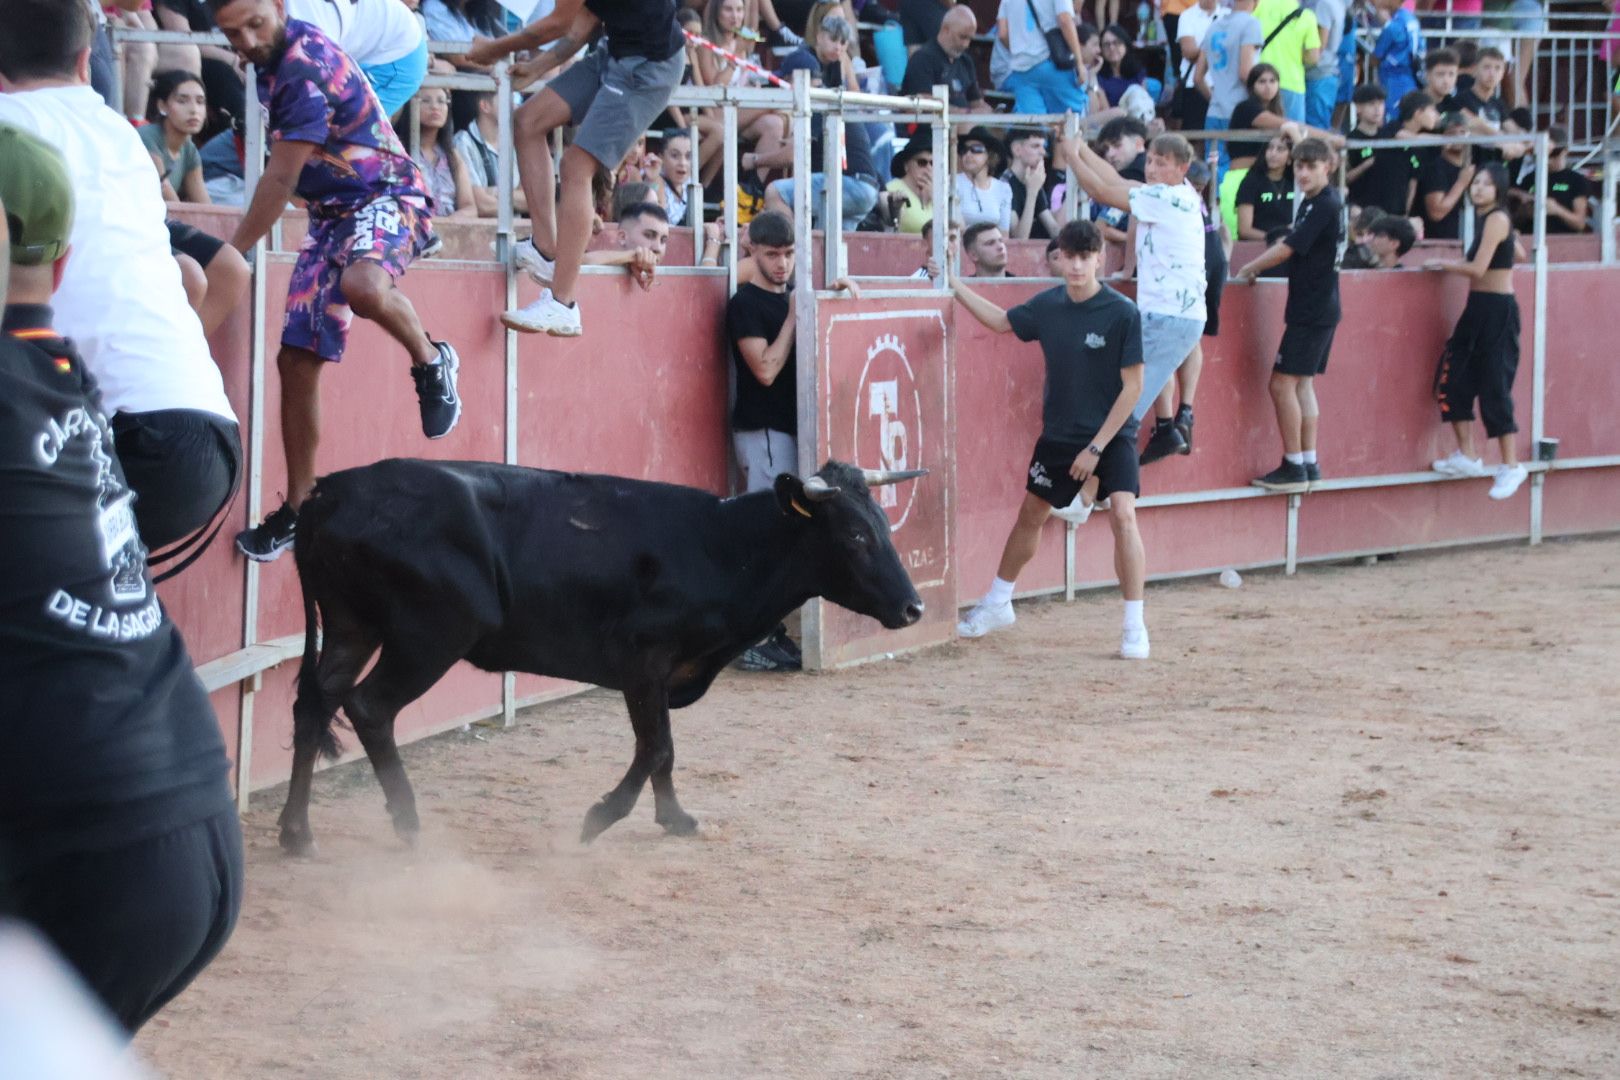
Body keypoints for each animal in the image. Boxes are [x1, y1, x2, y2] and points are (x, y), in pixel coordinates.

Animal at [278, 456, 926, 854]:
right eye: (855, 536)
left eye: (884, 526)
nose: (914, 607)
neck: (721, 545)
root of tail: (328, 492)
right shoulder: (643, 661)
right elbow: (656, 746)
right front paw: (600, 818)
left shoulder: (660, 674)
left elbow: (664, 750)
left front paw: (675, 819)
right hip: (429, 635)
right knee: (369, 708)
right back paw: (409, 827)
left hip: (352, 625)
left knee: (315, 704)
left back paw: (297, 833)